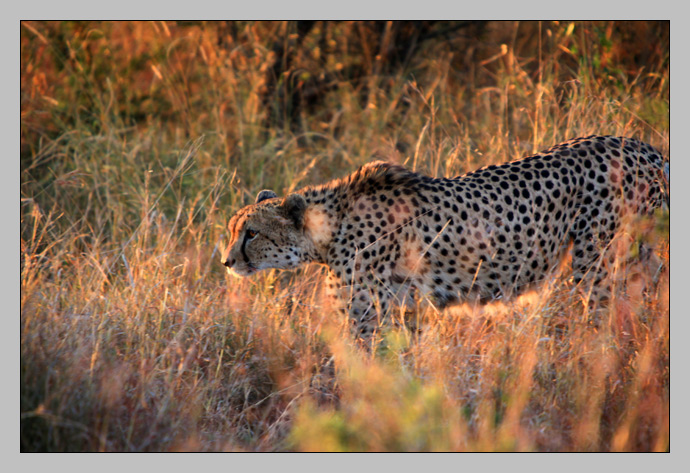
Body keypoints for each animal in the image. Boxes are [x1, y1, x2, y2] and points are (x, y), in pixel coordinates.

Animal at [220, 135, 668, 338]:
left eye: (251, 233)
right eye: (233, 230)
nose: (226, 261)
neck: (328, 229)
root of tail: (642, 146)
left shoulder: (367, 315)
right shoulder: (403, 308)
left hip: (600, 260)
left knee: (606, 314)